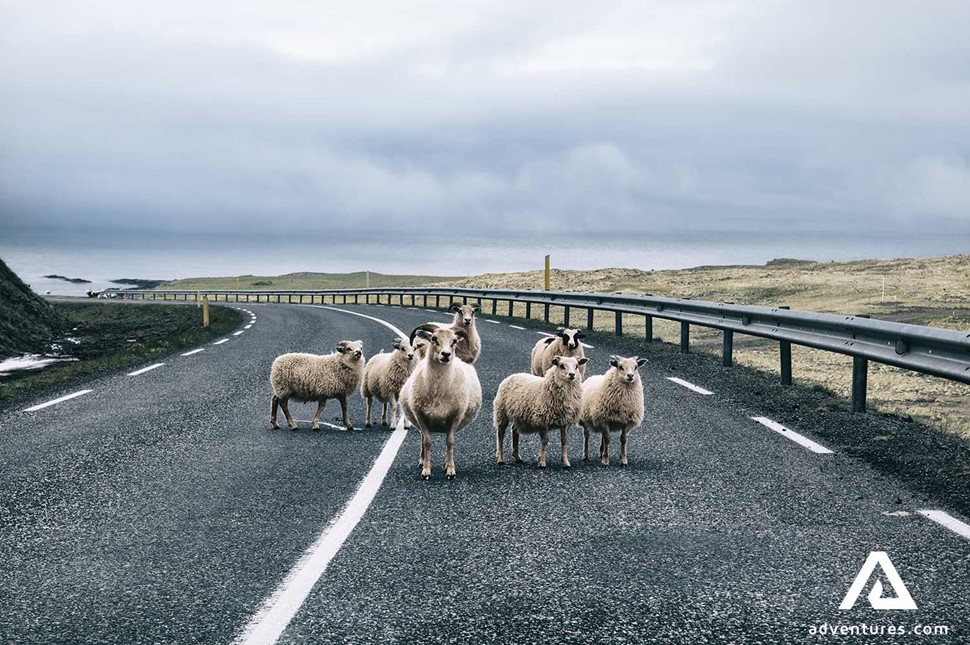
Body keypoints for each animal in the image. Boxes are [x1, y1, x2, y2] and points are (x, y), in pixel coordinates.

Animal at [398, 322, 480, 478]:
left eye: (454, 342)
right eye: (434, 339)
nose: (446, 354)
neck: (438, 391)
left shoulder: (455, 416)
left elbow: (450, 441)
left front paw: (450, 470)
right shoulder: (420, 416)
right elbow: (427, 442)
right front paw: (426, 470)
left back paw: (445, 463)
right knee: (422, 439)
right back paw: (422, 461)